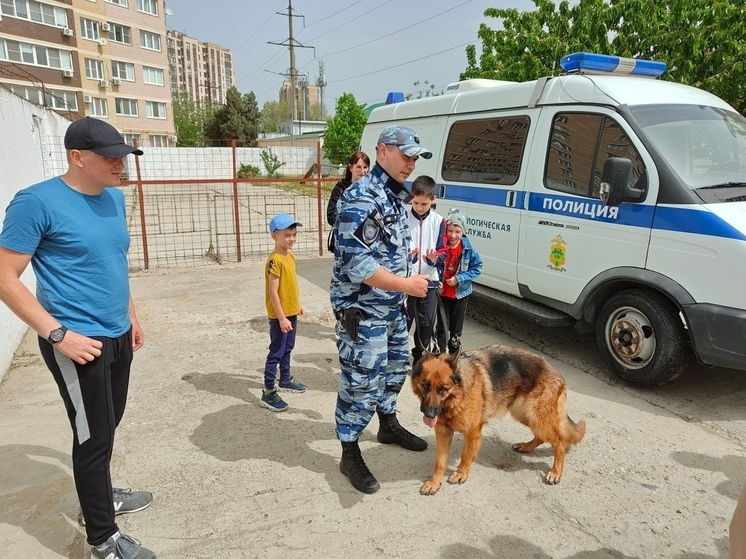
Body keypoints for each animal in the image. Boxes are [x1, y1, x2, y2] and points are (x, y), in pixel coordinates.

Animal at [410, 346, 584, 494]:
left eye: (443, 389)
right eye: (425, 386)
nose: (429, 414)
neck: (457, 397)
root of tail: (556, 373)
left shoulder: (472, 432)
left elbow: (466, 455)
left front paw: (461, 473)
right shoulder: (443, 432)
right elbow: (440, 462)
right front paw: (434, 482)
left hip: (536, 417)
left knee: (560, 442)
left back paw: (555, 472)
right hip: (525, 414)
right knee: (542, 437)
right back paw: (526, 447)